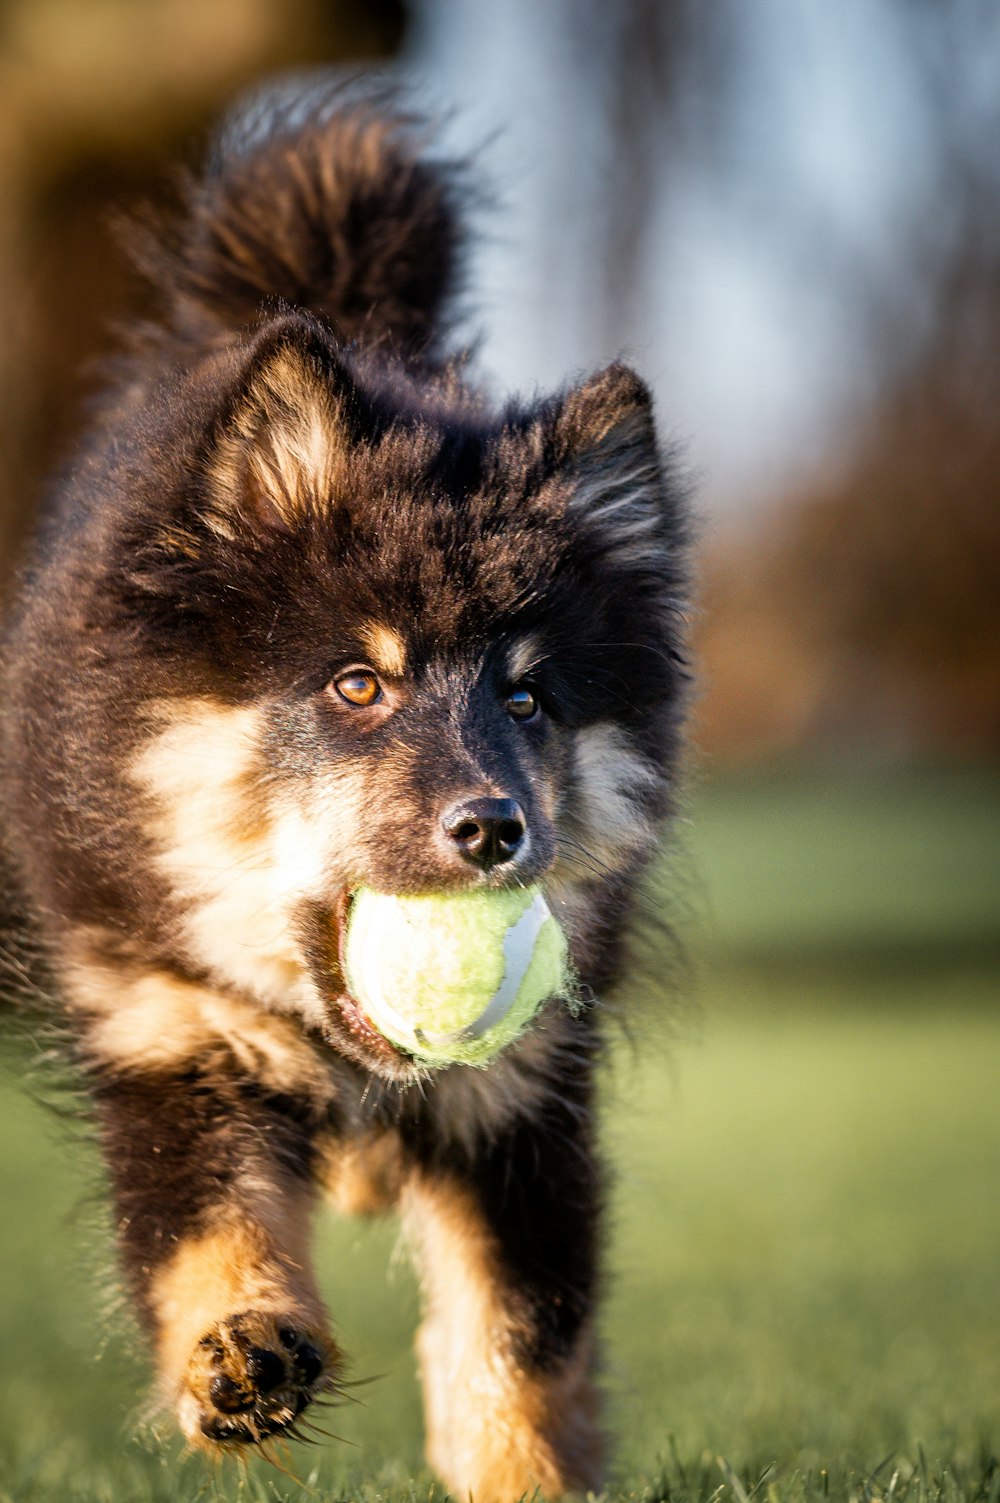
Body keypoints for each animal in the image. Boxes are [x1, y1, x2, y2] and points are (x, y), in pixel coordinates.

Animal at [0, 79, 685, 1503]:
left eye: (528, 699)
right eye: (356, 685)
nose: (493, 829)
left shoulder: (522, 1102)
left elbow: (515, 1334)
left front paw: (522, 1473)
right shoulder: (168, 1037)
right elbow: (204, 1228)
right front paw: (240, 1353)